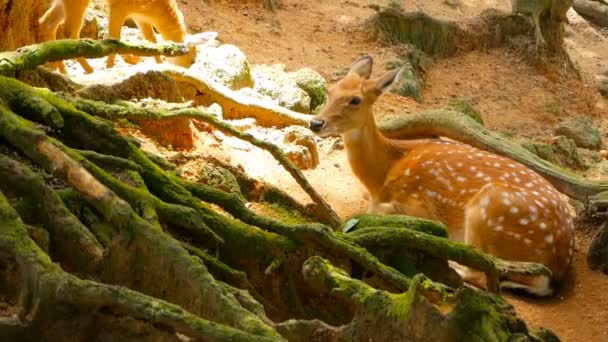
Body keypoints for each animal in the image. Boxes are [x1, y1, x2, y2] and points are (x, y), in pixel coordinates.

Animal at [38, 0, 218, 74]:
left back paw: (61, 70)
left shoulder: (140, 16)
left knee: (47, 22)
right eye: (192, 59)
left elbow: (151, 40)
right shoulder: (119, 6)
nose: (183, 73)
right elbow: (114, 38)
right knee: (70, 32)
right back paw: (89, 70)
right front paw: (109, 68)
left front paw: (159, 65)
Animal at [308, 56, 576, 296]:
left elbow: (375, 213)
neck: (383, 173)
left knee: (482, 271)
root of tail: (559, 264)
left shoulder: (420, 206)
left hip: (490, 209)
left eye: (355, 100)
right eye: (330, 91)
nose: (316, 123)